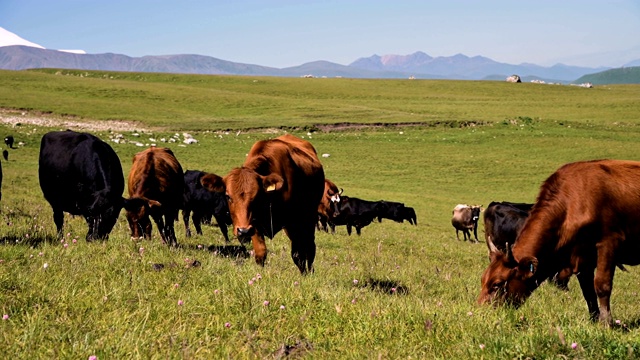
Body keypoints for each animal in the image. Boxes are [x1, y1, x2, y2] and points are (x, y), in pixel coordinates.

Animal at [201, 134, 324, 272]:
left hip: (309, 216)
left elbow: (298, 254)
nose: (243, 231)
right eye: (228, 196)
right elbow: (261, 253)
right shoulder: (254, 224)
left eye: (257, 196)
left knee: (310, 246)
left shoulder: (293, 223)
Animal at [480, 160, 640, 326]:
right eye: (482, 280)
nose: (481, 314)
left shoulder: (608, 243)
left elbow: (602, 285)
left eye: (497, 284)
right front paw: (594, 320)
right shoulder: (581, 257)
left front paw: (606, 322)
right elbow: (588, 292)